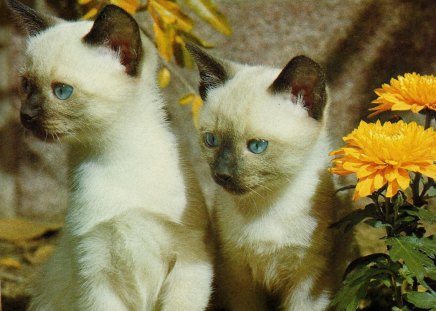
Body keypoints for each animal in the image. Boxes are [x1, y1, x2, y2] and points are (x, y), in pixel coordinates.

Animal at [5, 1, 213, 310]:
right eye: (27, 85)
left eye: (62, 91)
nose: (25, 115)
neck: (111, 156)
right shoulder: (95, 269)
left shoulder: (189, 261)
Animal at [187, 44, 354, 311]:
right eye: (211, 140)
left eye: (257, 146)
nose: (222, 174)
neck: (266, 205)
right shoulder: (237, 275)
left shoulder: (310, 276)